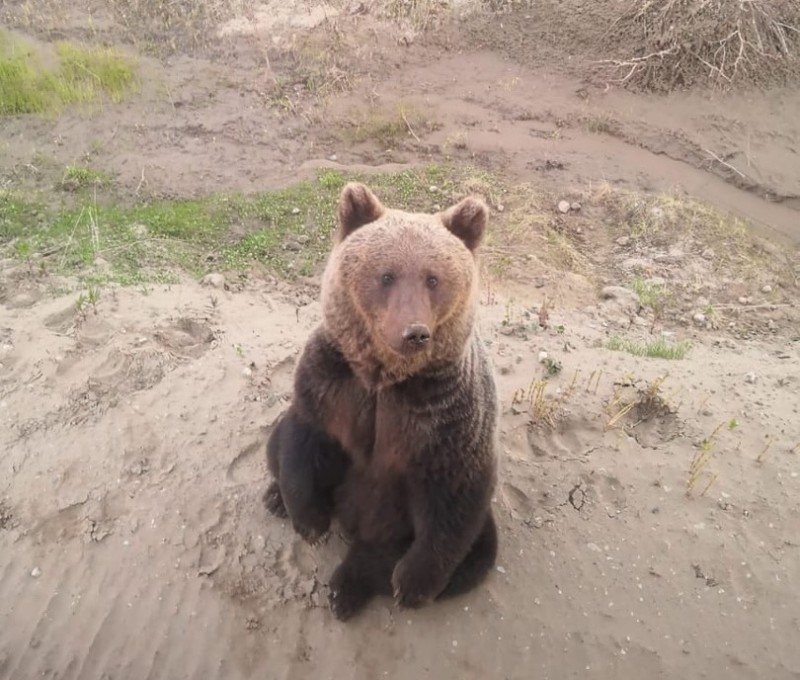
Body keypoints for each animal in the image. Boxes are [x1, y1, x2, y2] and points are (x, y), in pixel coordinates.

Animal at [266, 181, 496, 620]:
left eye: (433, 278)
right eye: (386, 275)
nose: (415, 332)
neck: (383, 379)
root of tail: (353, 523)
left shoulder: (446, 415)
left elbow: (453, 499)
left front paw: (413, 583)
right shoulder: (331, 381)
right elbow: (303, 438)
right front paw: (309, 520)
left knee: (472, 552)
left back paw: (349, 588)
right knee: (275, 441)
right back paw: (276, 499)